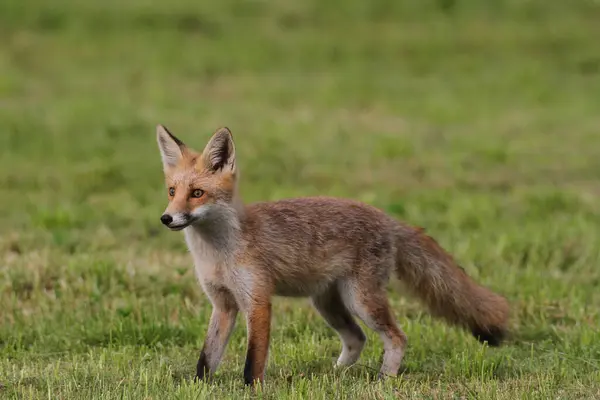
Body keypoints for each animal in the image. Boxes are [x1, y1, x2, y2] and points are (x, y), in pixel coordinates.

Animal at [155, 124, 510, 384]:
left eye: (197, 193)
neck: (218, 253)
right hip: (327, 303)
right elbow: (207, 357)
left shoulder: (257, 300)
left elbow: (253, 360)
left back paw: (384, 379)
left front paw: (251, 389)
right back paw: (335, 374)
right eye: (172, 191)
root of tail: (387, 218)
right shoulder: (223, 304)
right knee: (356, 338)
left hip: (361, 300)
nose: (167, 218)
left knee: (396, 337)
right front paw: (197, 387)